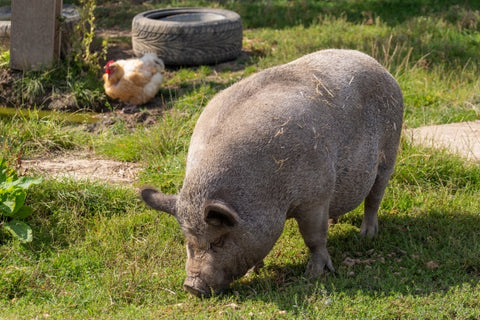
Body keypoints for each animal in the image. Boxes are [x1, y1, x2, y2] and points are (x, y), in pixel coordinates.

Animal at [141, 49, 404, 298]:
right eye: (188, 241)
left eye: (218, 240)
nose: (191, 286)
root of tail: (376, 64)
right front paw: (254, 272)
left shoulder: (315, 197)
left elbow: (314, 237)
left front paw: (313, 274)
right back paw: (336, 222)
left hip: (389, 154)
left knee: (374, 197)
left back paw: (366, 236)